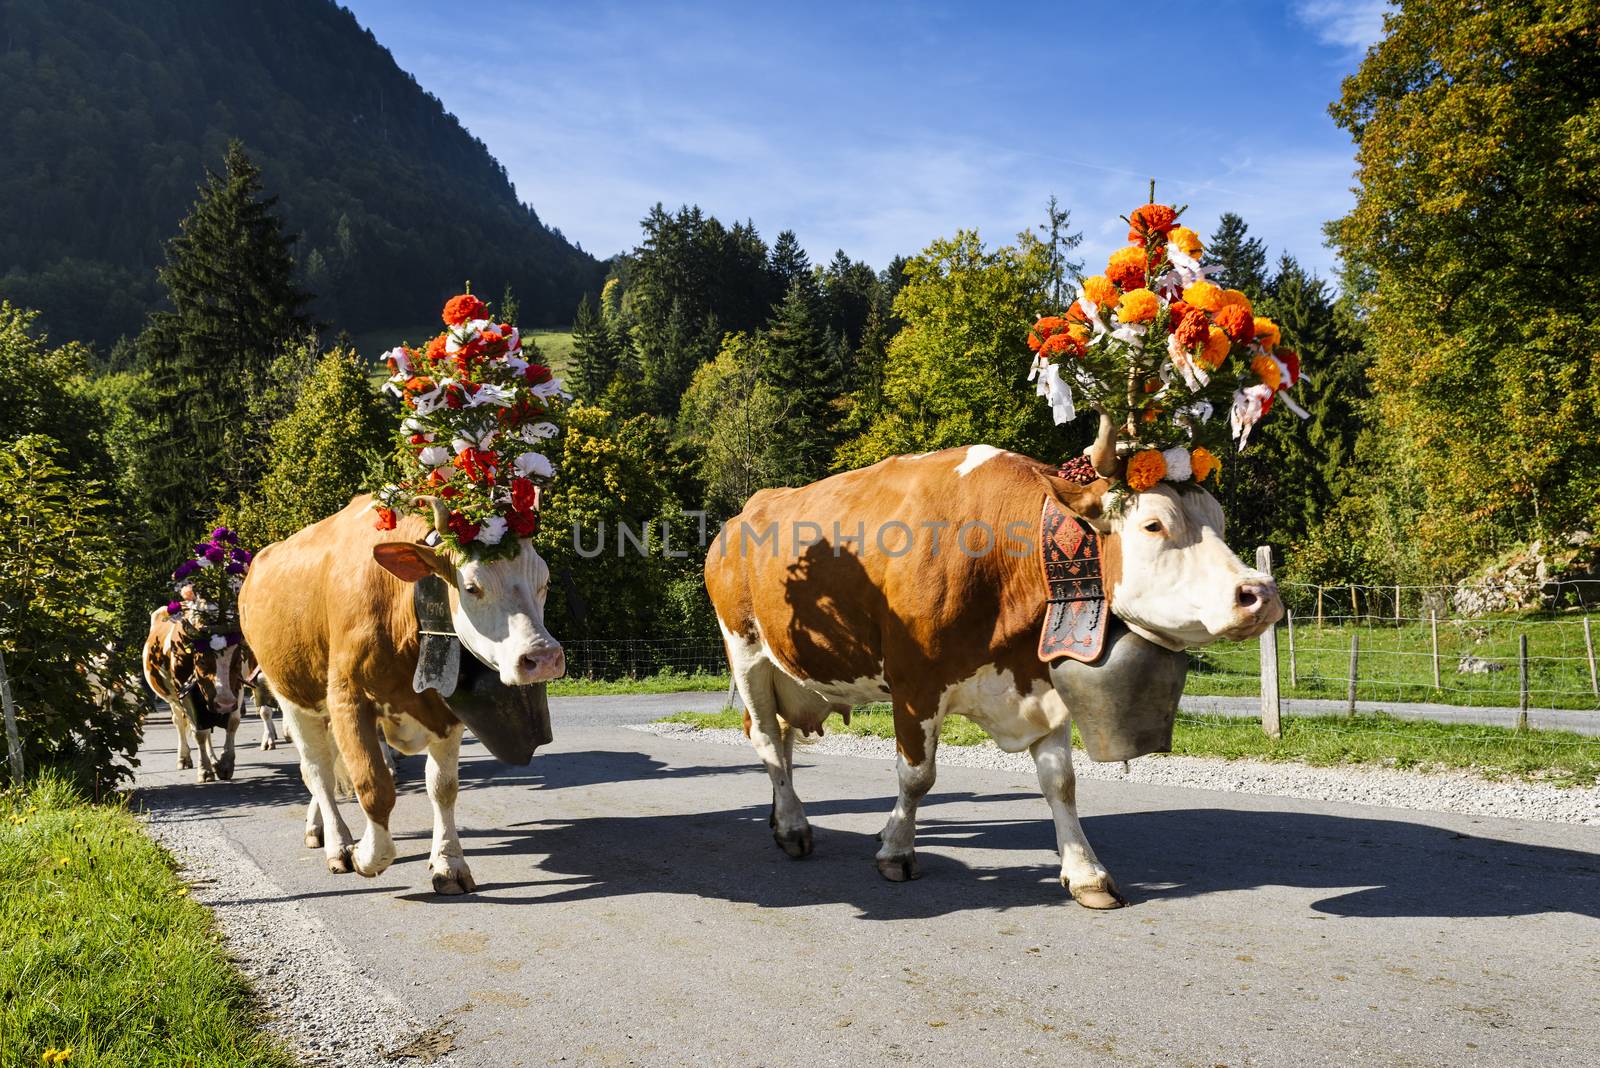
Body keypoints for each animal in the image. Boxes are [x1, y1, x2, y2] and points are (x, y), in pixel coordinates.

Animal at [233, 492, 563, 895]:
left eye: (545, 582)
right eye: (471, 587)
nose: (543, 658)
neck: (401, 608)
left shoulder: (444, 708)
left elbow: (443, 787)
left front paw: (449, 863)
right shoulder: (347, 698)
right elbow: (373, 785)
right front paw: (366, 855)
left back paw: (318, 827)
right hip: (291, 695)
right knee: (317, 770)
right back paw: (337, 843)